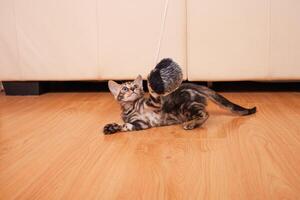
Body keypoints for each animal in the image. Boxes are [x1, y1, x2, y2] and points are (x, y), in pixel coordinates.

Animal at [103, 75, 255, 134]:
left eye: (135, 86)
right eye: (124, 89)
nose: (133, 89)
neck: (132, 107)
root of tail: (192, 85)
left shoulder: (153, 107)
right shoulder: (140, 123)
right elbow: (125, 125)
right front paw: (111, 127)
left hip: (186, 106)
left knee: (205, 113)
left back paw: (191, 124)